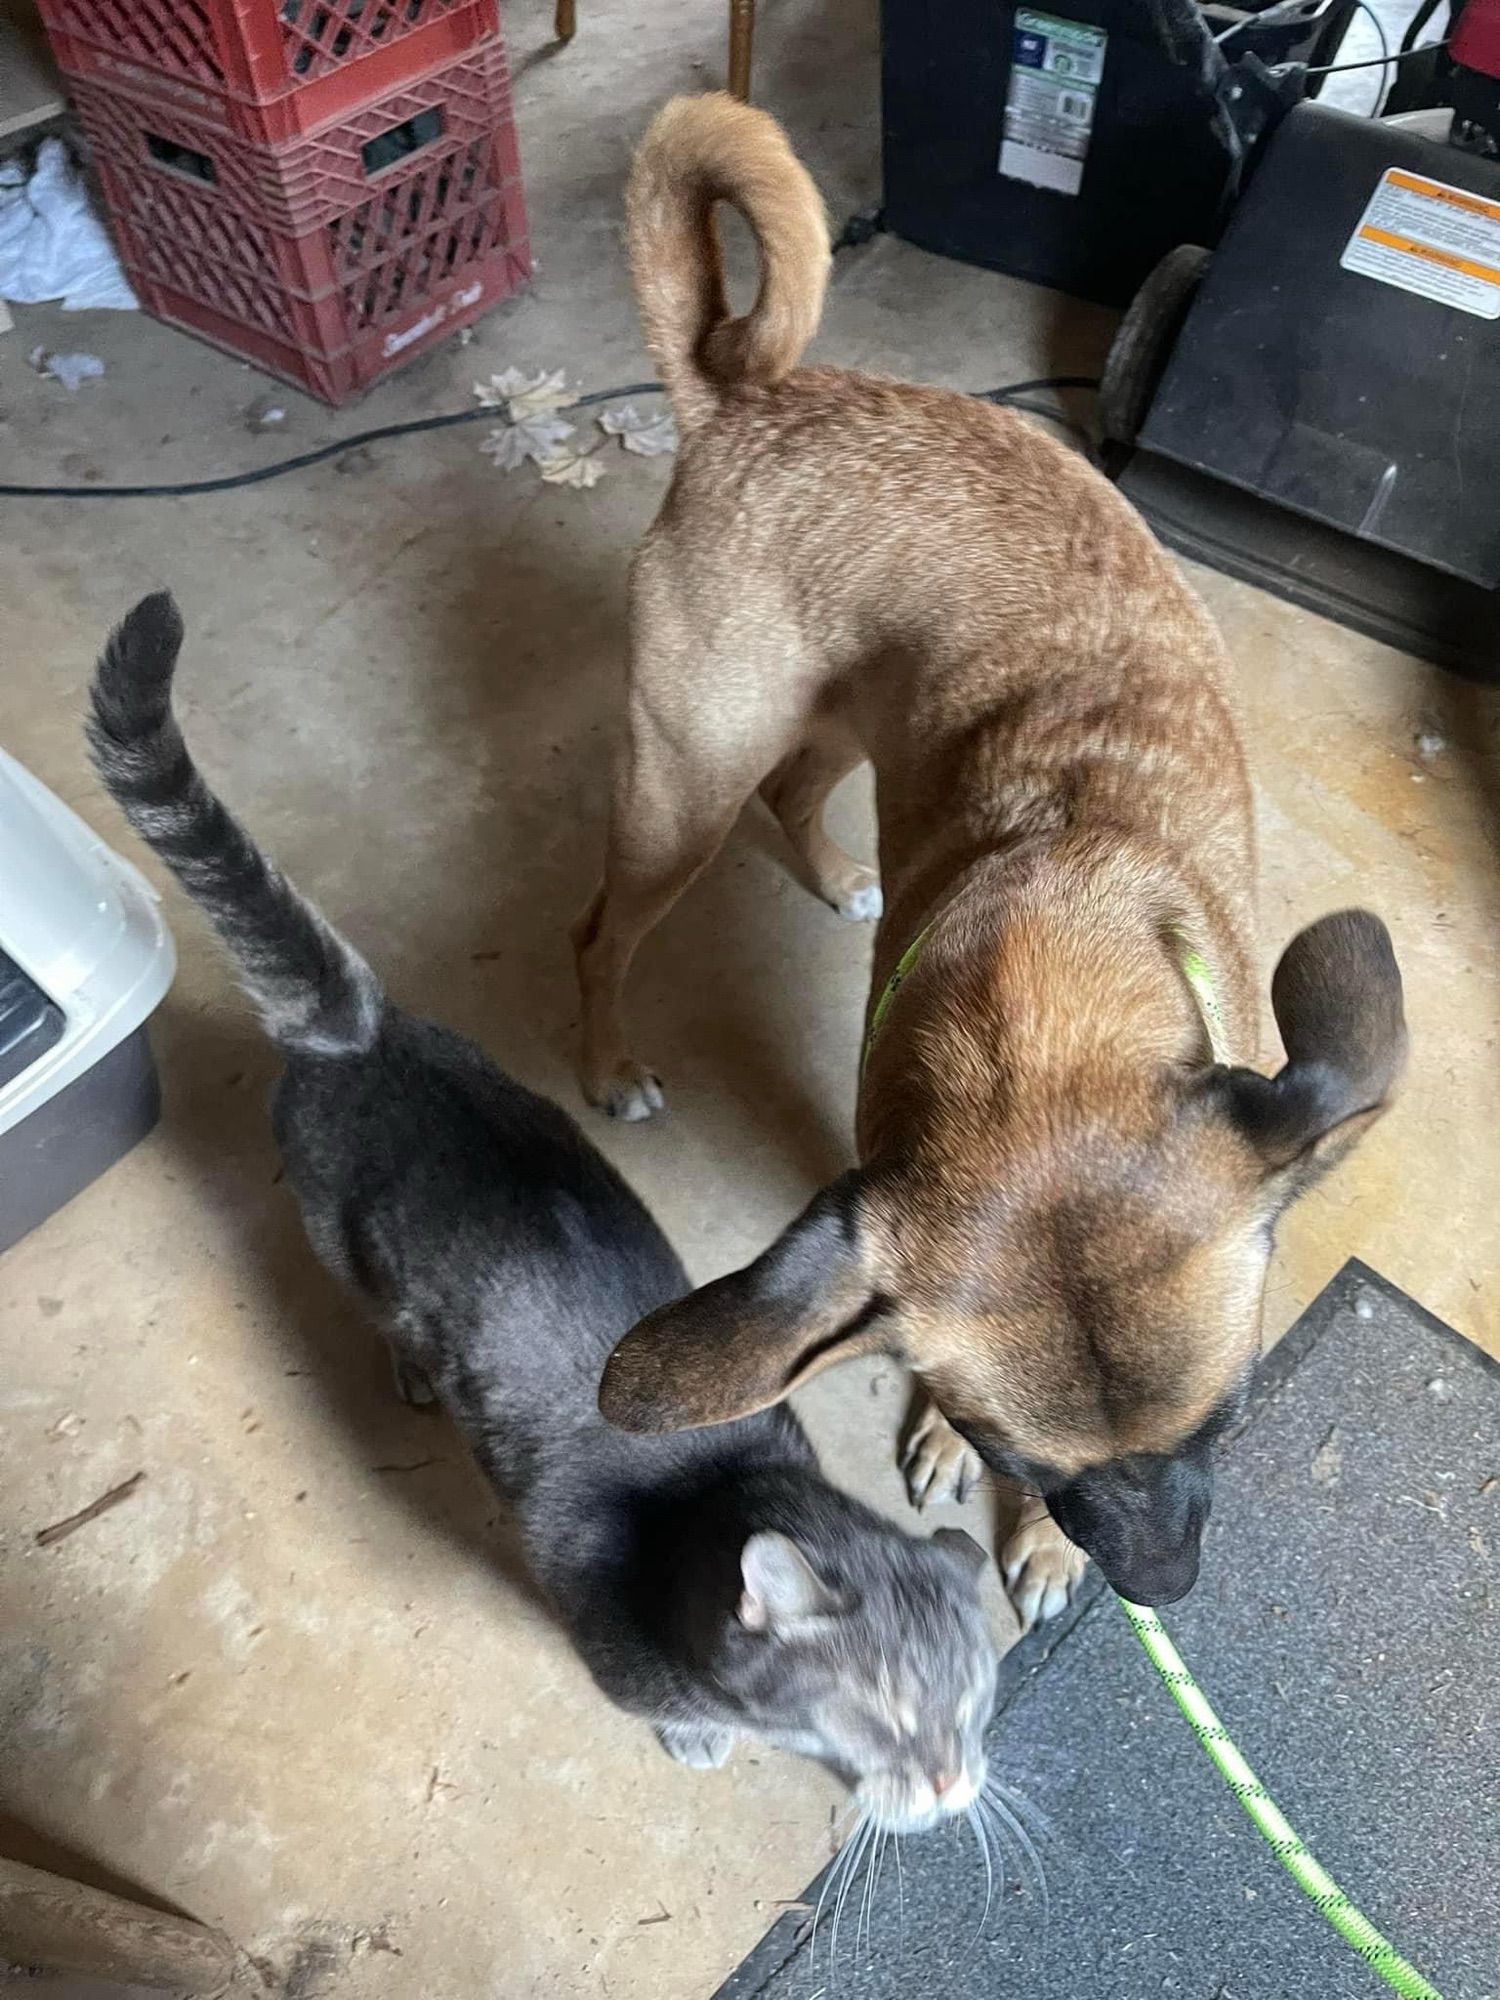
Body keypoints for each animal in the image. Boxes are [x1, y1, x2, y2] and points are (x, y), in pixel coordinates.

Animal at [91, 588, 1000, 1832]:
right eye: (887, 1711)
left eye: (977, 1700)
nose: (957, 1778)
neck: (703, 1512)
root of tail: (365, 1031)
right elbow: (670, 1701)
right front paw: (702, 1734)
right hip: (348, 1247)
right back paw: (411, 1368)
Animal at [576, 97, 1408, 1624]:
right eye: (1011, 1446)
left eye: (1230, 1419)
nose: (1161, 1589)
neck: (1051, 995)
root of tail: (745, 401)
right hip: (679, 792)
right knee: (601, 932)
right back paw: (606, 1061)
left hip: (826, 728)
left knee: (795, 795)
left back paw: (835, 872)